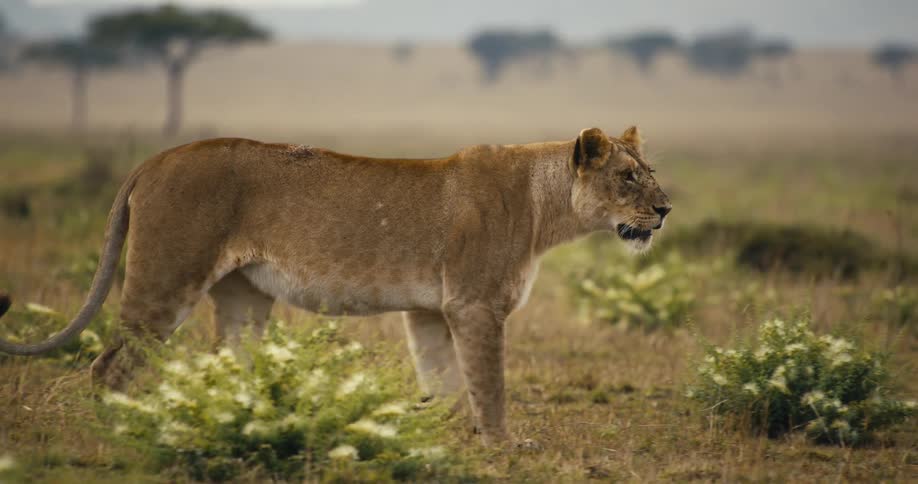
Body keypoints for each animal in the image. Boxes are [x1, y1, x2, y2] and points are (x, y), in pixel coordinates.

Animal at [0, 126, 671, 445]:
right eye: (627, 177)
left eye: (650, 173)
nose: (665, 210)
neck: (544, 208)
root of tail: (155, 158)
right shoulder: (475, 304)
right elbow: (490, 386)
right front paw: (506, 446)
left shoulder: (433, 311)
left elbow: (446, 385)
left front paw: (453, 444)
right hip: (168, 279)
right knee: (110, 365)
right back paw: (122, 431)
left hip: (244, 297)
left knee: (227, 370)